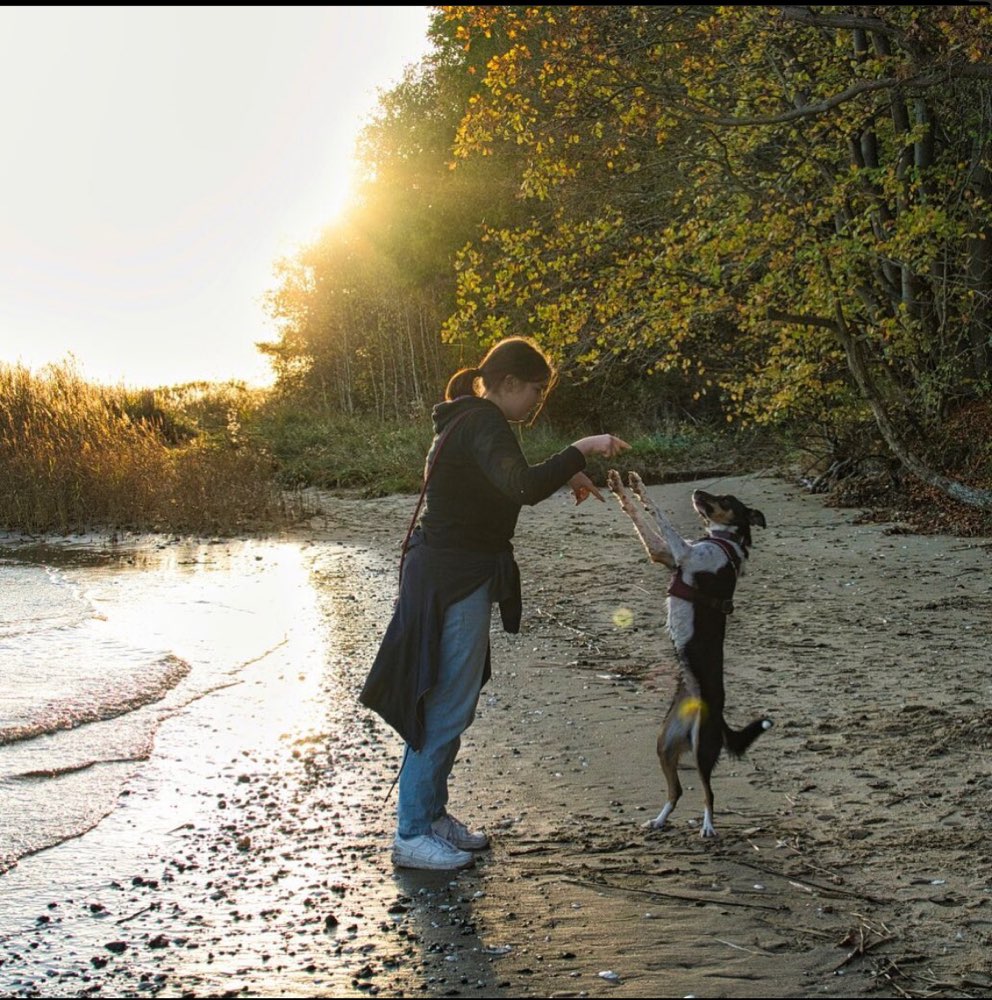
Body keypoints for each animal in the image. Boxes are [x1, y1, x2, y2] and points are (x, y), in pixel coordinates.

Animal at [604, 470, 776, 836]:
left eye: (726, 500)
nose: (697, 490)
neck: (727, 544)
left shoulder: (681, 552)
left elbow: (658, 514)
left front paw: (640, 492)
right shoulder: (664, 553)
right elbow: (640, 516)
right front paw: (625, 486)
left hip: (703, 747)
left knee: (709, 792)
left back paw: (708, 827)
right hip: (664, 745)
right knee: (677, 790)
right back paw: (658, 820)